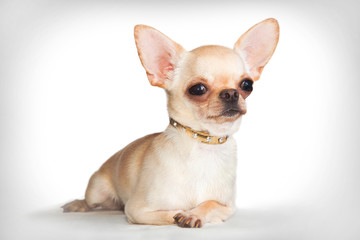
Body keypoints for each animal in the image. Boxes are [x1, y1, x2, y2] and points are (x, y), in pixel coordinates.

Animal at [63, 17, 280, 228]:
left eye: (247, 85)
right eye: (198, 89)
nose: (231, 93)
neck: (204, 145)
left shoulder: (226, 207)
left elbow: (208, 205)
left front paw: (193, 214)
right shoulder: (136, 209)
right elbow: (171, 212)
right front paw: (184, 214)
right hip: (96, 191)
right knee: (93, 202)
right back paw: (77, 204)